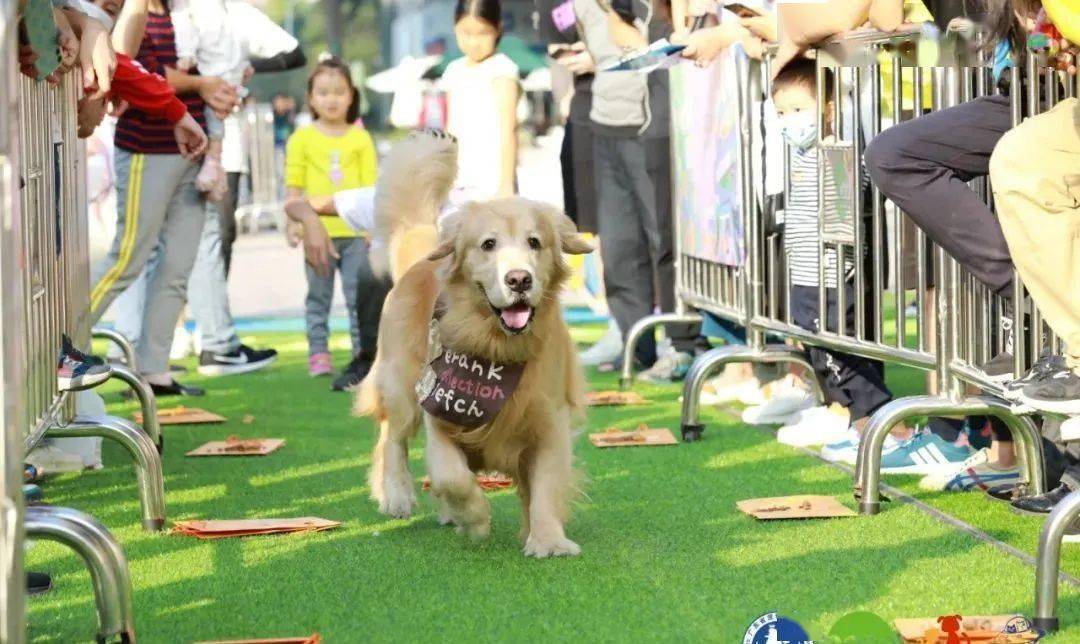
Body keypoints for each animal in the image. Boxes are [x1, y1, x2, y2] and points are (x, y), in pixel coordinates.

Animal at [354, 131, 591, 557]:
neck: (496, 349)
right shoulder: (440, 411)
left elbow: (546, 485)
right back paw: (396, 494)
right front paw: (477, 521)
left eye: (535, 242)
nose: (519, 279)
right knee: (391, 438)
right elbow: (452, 477)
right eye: (488, 244)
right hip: (401, 383)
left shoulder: (549, 421)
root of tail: (421, 257)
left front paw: (547, 539)